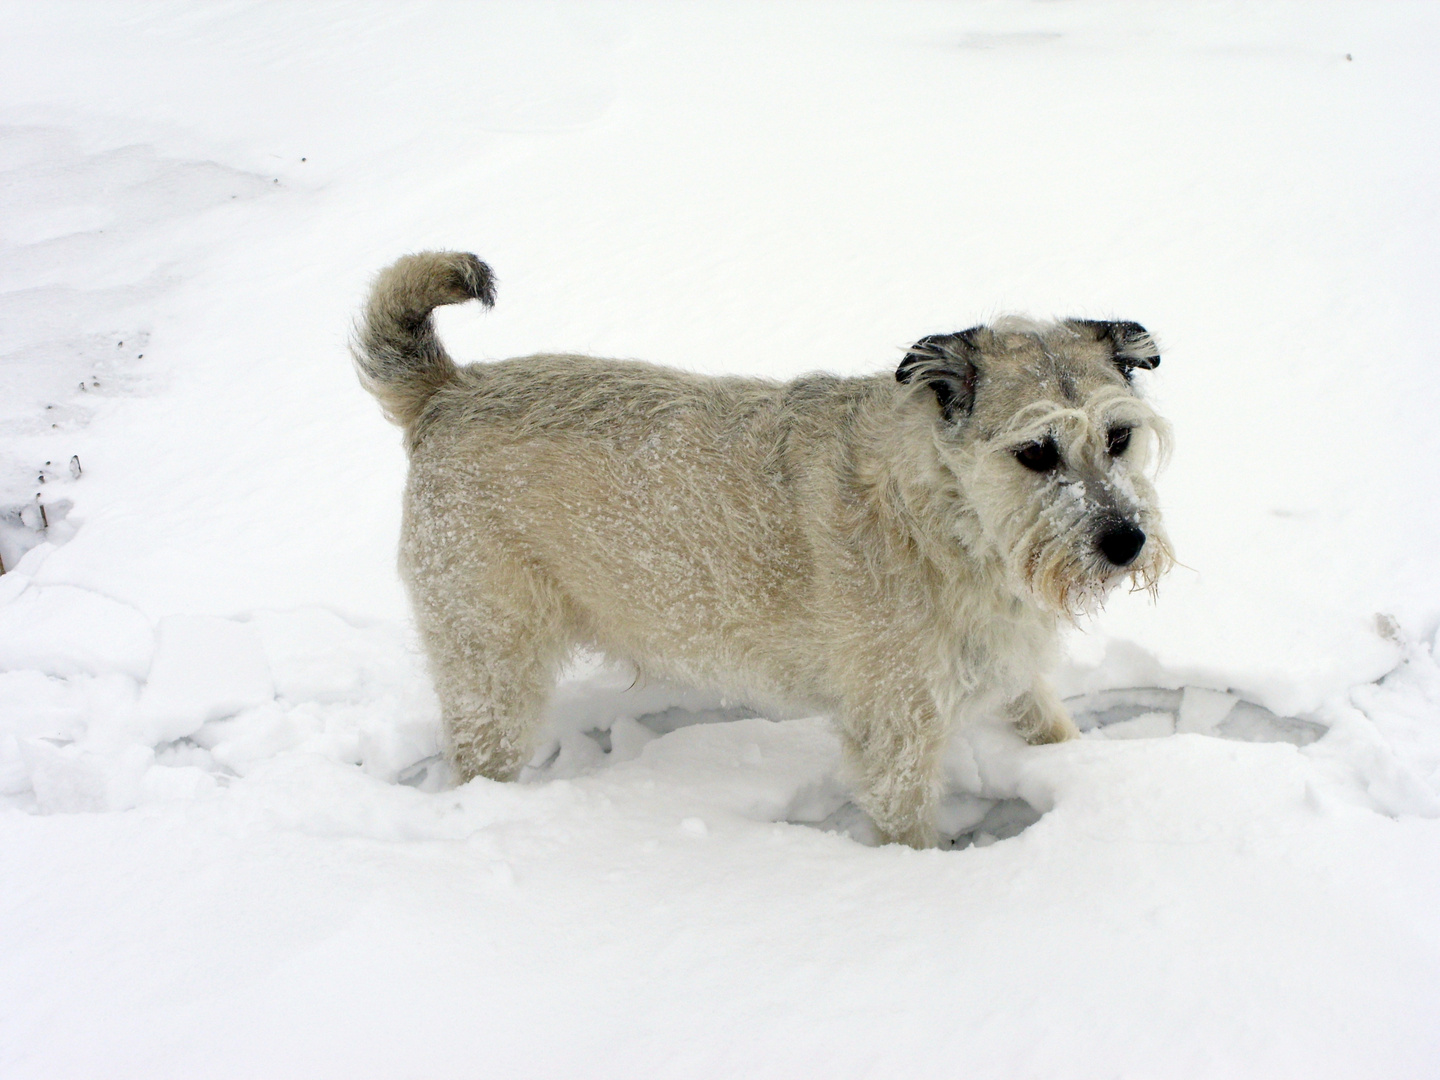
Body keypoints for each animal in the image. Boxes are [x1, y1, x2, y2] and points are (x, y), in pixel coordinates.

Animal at [354, 252, 1175, 846]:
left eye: (1118, 436)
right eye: (1035, 451)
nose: (1125, 541)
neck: (946, 516)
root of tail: (449, 390)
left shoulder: (1008, 669)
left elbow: (1048, 724)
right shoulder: (897, 732)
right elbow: (908, 824)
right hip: (491, 662)